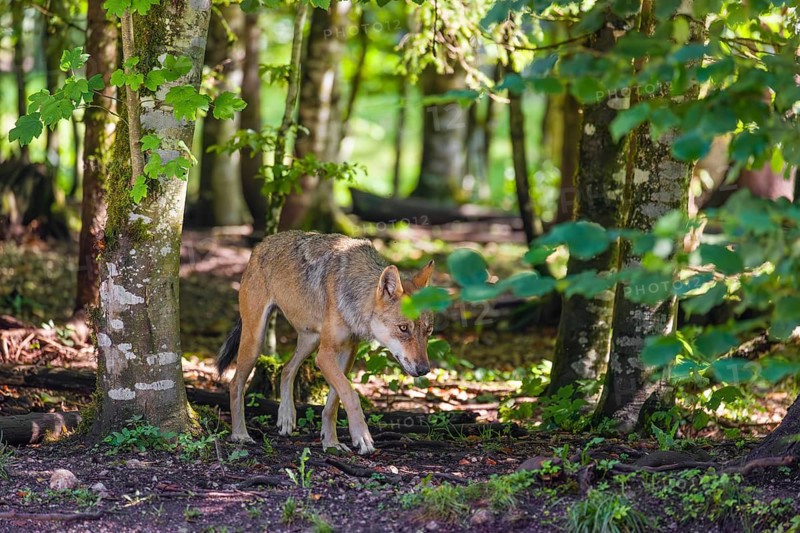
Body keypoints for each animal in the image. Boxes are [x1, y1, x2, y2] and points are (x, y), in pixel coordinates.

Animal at [217, 231, 435, 455]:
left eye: (428, 331)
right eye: (403, 328)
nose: (424, 370)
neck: (355, 293)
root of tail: (263, 242)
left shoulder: (348, 352)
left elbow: (333, 403)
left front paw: (330, 442)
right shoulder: (325, 356)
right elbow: (350, 394)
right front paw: (362, 437)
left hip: (310, 340)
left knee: (287, 369)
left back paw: (286, 417)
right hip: (256, 341)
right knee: (235, 384)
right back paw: (240, 434)